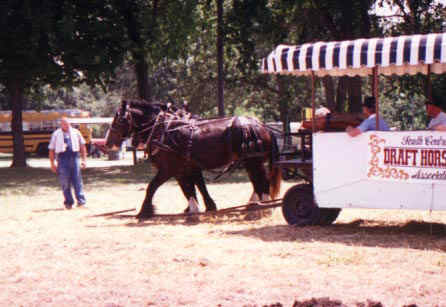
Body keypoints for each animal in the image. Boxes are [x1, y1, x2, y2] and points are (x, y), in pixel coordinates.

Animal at [106, 100, 280, 220]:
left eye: (119, 119)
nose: (108, 143)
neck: (163, 130)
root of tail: (263, 127)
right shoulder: (186, 168)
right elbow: (193, 188)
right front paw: (200, 208)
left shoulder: (169, 169)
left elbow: (153, 187)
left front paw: (144, 211)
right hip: (249, 162)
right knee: (257, 183)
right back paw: (253, 206)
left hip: (253, 162)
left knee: (262, 183)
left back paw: (265, 208)